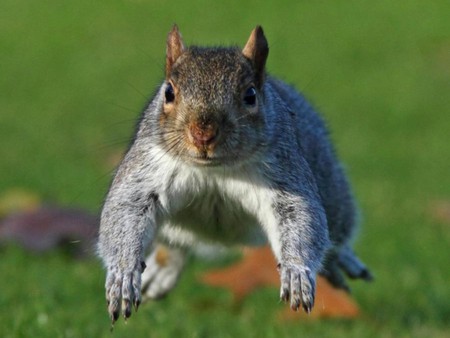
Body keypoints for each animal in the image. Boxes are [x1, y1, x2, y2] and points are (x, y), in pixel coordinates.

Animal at [97, 25, 372, 324]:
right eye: (168, 92)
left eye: (250, 95)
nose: (202, 134)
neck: (214, 170)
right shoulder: (146, 172)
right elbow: (126, 212)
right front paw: (123, 276)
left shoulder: (285, 175)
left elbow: (300, 218)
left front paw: (296, 272)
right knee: (176, 245)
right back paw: (163, 269)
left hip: (331, 188)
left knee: (336, 231)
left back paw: (339, 260)